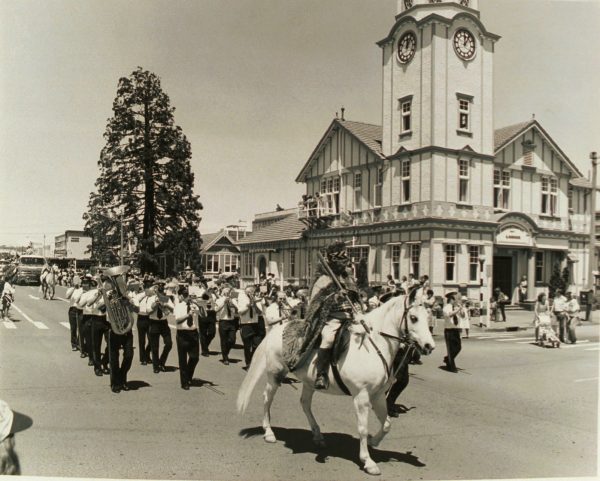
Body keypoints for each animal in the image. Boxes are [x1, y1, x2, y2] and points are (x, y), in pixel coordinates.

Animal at [237, 294, 434, 474]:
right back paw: (269, 433)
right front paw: (368, 461)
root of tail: (276, 330)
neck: (373, 347)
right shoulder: (361, 397)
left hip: (308, 382)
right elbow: (363, 428)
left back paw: (318, 435)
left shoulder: (377, 395)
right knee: (267, 398)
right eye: (413, 318)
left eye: (428, 316)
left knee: (305, 403)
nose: (429, 346)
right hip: (275, 374)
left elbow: (386, 424)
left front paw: (374, 442)